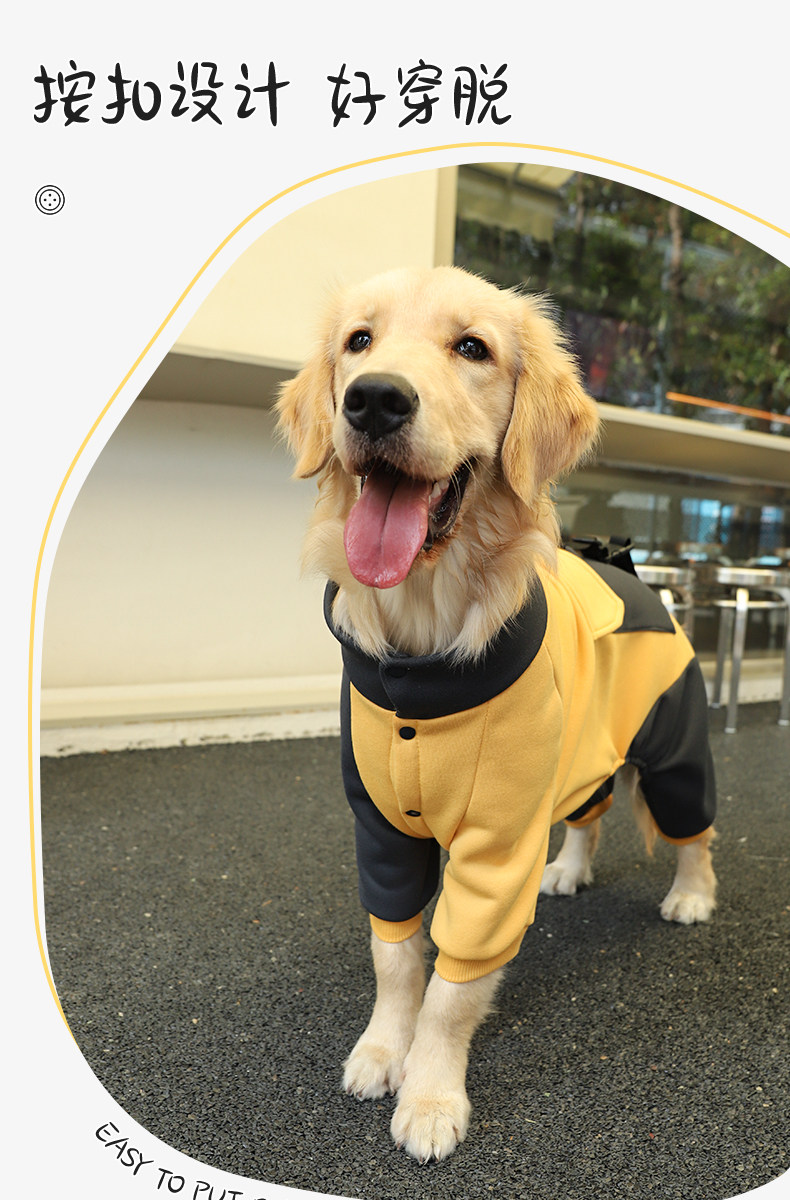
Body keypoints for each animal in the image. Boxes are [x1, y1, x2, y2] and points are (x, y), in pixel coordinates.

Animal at [276, 265, 717, 1163]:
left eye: (472, 348)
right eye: (359, 341)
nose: (375, 400)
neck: (421, 656)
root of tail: (629, 568)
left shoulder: (497, 844)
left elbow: (452, 987)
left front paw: (431, 1095)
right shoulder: (381, 828)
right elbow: (397, 954)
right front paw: (383, 1049)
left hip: (675, 746)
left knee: (695, 832)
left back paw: (692, 894)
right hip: (581, 756)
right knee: (590, 814)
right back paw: (571, 869)